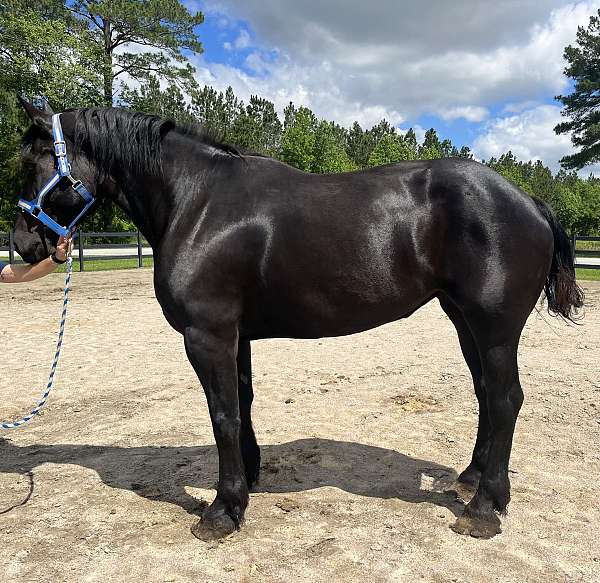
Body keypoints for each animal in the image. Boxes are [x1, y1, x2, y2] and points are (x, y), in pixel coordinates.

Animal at [10, 101, 580, 544]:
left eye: (35, 162)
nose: (22, 243)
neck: (198, 203)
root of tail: (529, 201)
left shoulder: (206, 335)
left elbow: (222, 415)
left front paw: (222, 511)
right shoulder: (234, 336)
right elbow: (241, 405)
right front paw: (246, 481)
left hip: (494, 329)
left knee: (505, 400)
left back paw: (484, 509)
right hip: (464, 322)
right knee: (486, 395)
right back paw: (469, 480)